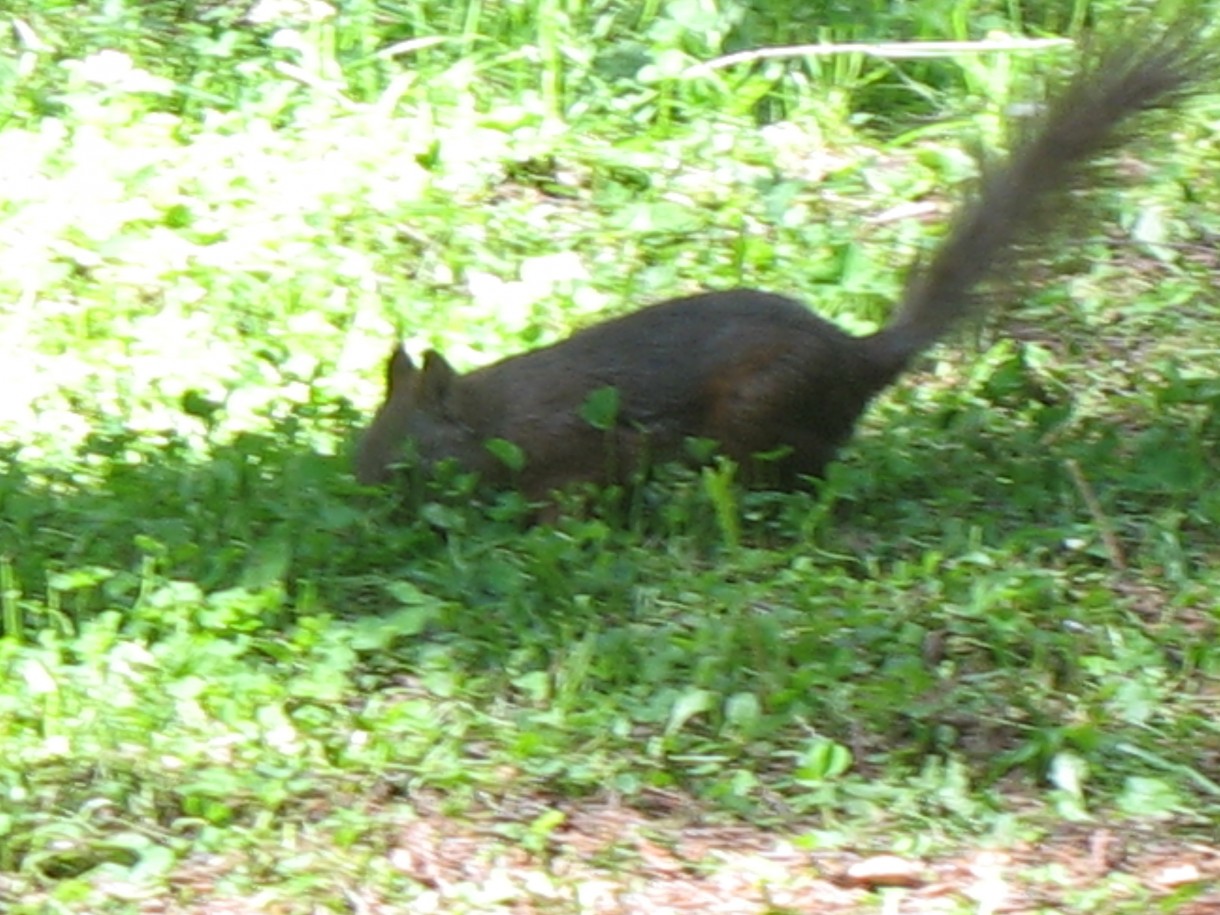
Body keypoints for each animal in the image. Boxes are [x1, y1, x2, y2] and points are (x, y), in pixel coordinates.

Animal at [353, 28, 1210, 505]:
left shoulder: (575, 437)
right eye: (366, 439)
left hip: (756, 407)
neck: (492, 413)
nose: (362, 495)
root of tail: (862, 359)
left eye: (407, 457)